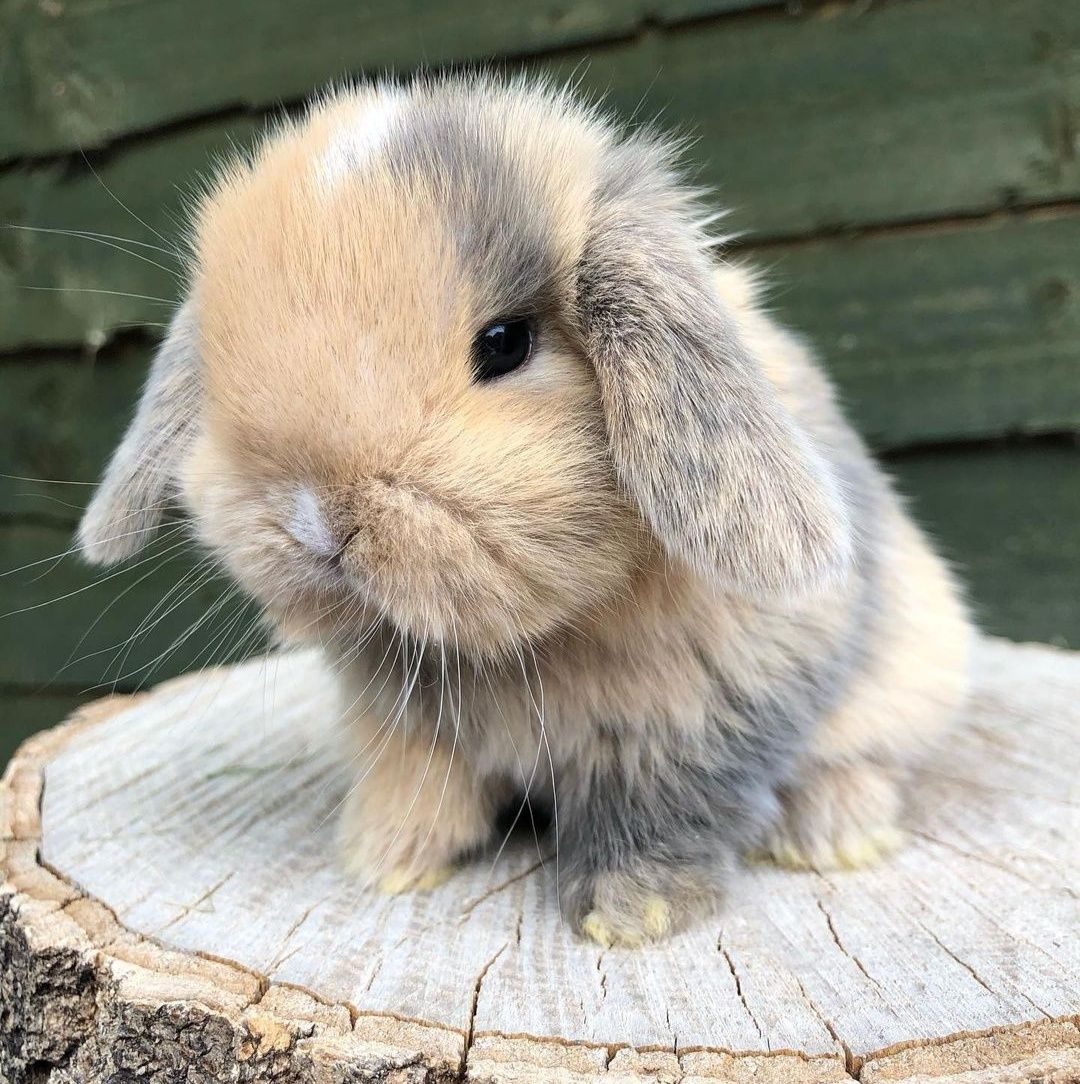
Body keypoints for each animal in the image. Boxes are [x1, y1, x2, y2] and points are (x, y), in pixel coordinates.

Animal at [75, 72, 971, 945]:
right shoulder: (405, 726)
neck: (514, 648)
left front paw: (630, 911)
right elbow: (417, 782)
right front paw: (385, 859)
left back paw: (834, 833)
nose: (317, 525)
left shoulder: (703, 710)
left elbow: (665, 802)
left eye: (504, 343)